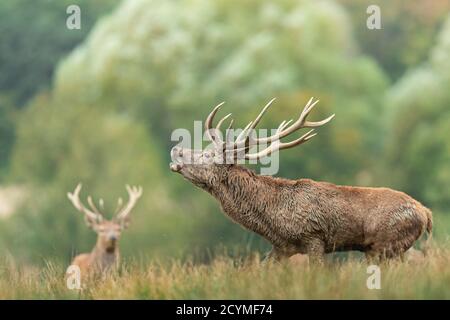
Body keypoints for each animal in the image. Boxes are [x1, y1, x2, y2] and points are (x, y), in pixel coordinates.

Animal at [170, 99, 432, 264]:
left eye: (207, 155)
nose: (176, 149)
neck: (272, 219)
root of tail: (426, 214)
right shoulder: (281, 247)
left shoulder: (314, 238)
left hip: (385, 244)